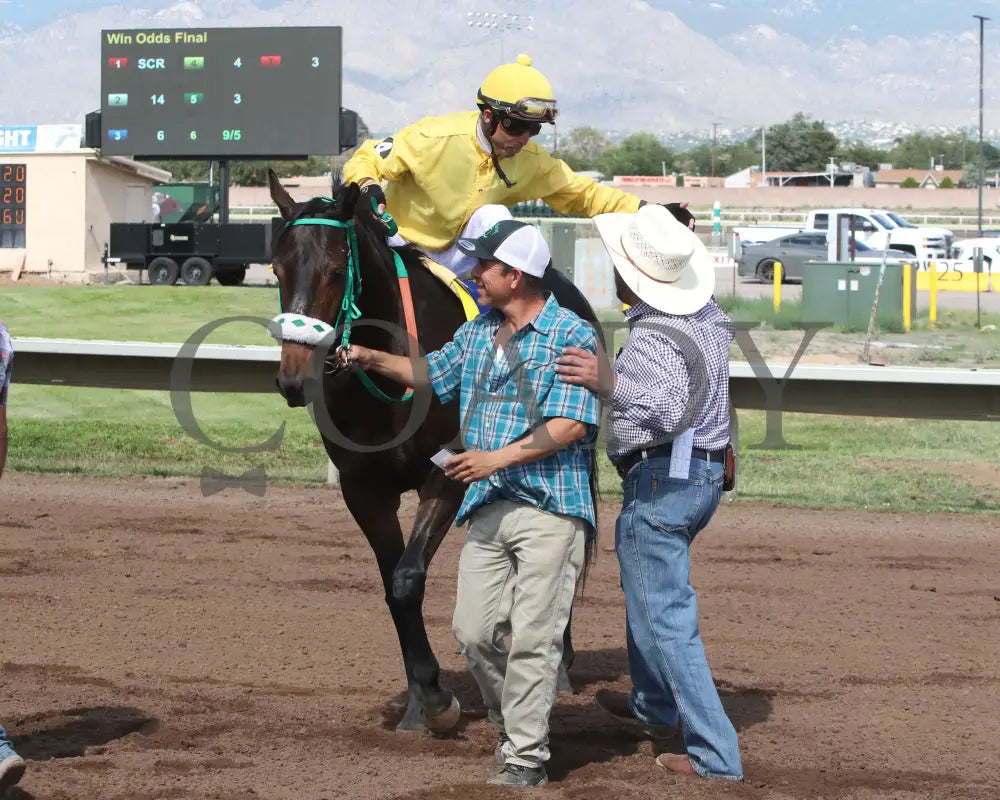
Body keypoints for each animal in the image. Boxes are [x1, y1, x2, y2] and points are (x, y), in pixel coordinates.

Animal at [266, 170, 600, 736]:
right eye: (276, 268)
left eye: (335, 270)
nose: (293, 378)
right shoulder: (363, 488)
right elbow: (392, 585)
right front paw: (420, 701)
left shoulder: (445, 477)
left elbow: (407, 578)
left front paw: (438, 697)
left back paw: (561, 663)